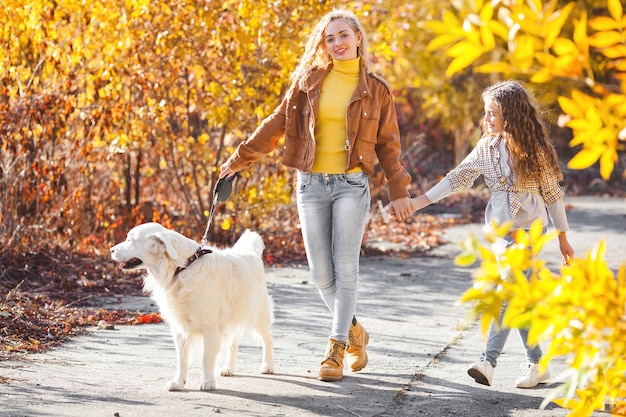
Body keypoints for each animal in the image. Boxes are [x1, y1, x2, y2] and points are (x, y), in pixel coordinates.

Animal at [109, 224, 272, 390]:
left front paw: (208, 382)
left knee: (267, 339)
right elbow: (182, 359)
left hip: (258, 314)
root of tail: (251, 252)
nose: (111, 250)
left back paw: (267, 366)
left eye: (130, 240)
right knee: (233, 343)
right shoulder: (180, 328)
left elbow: (207, 357)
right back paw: (228, 368)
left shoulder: (210, 326)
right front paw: (178, 382)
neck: (181, 268)